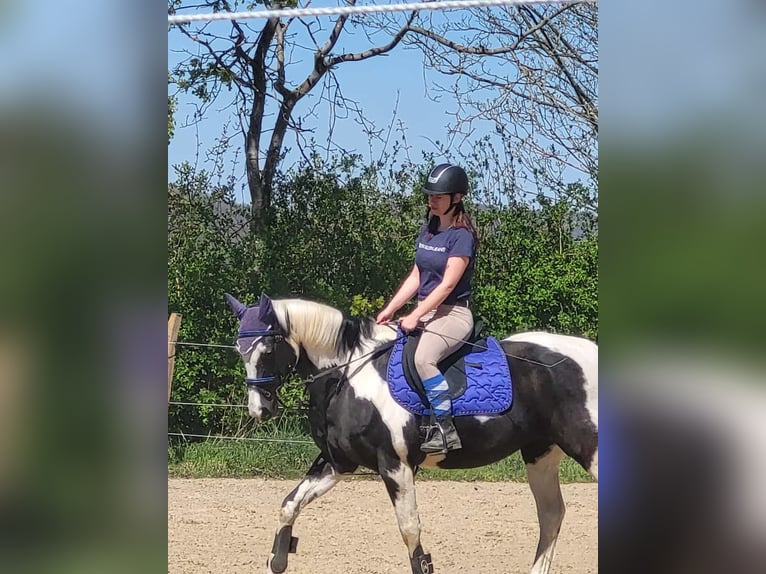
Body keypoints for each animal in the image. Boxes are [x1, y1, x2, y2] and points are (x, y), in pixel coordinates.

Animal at [225, 292, 598, 574]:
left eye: (267, 349)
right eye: (240, 350)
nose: (260, 410)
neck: (348, 375)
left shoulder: (395, 465)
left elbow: (410, 531)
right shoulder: (337, 464)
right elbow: (289, 505)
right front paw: (278, 560)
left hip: (588, 447)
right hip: (540, 453)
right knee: (551, 515)